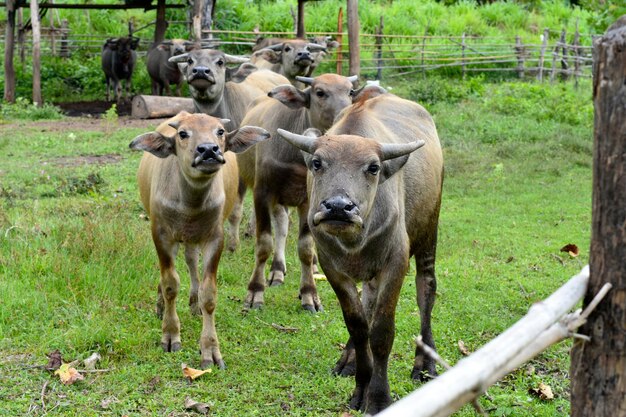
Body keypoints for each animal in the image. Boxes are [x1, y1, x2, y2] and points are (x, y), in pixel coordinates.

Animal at [129, 110, 268, 368]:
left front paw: (210, 350)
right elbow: (170, 284)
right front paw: (170, 335)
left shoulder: (214, 238)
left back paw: (193, 303)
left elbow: (209, 293)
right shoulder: (162, 235)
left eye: (220, 132)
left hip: (193, 238)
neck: (190, 204)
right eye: (183, 134)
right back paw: (161, 306)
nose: (208, 150)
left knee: (192, 261)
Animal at [236, 73, 358, 310]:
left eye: (350, 91)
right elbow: (264, 243)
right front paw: (255, 292)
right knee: (280, 227)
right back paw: (276, 271)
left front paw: (309, 294)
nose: (344, 115)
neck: (295, 158)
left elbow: (306, 247)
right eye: (320, 92)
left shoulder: (309, 201)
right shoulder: (263, 193)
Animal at [276, 92, 442, 414]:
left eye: (373, 167)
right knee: (367, 306)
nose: (339, 207)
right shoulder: (332, 268)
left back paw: (424, 365)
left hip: (429, 233)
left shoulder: (395, 263)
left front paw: (378, 397)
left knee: (426, 290)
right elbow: (357, 325)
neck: (354, 240)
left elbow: (381, 332)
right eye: (317, 163)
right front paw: (360, 385)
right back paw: (348, 360)